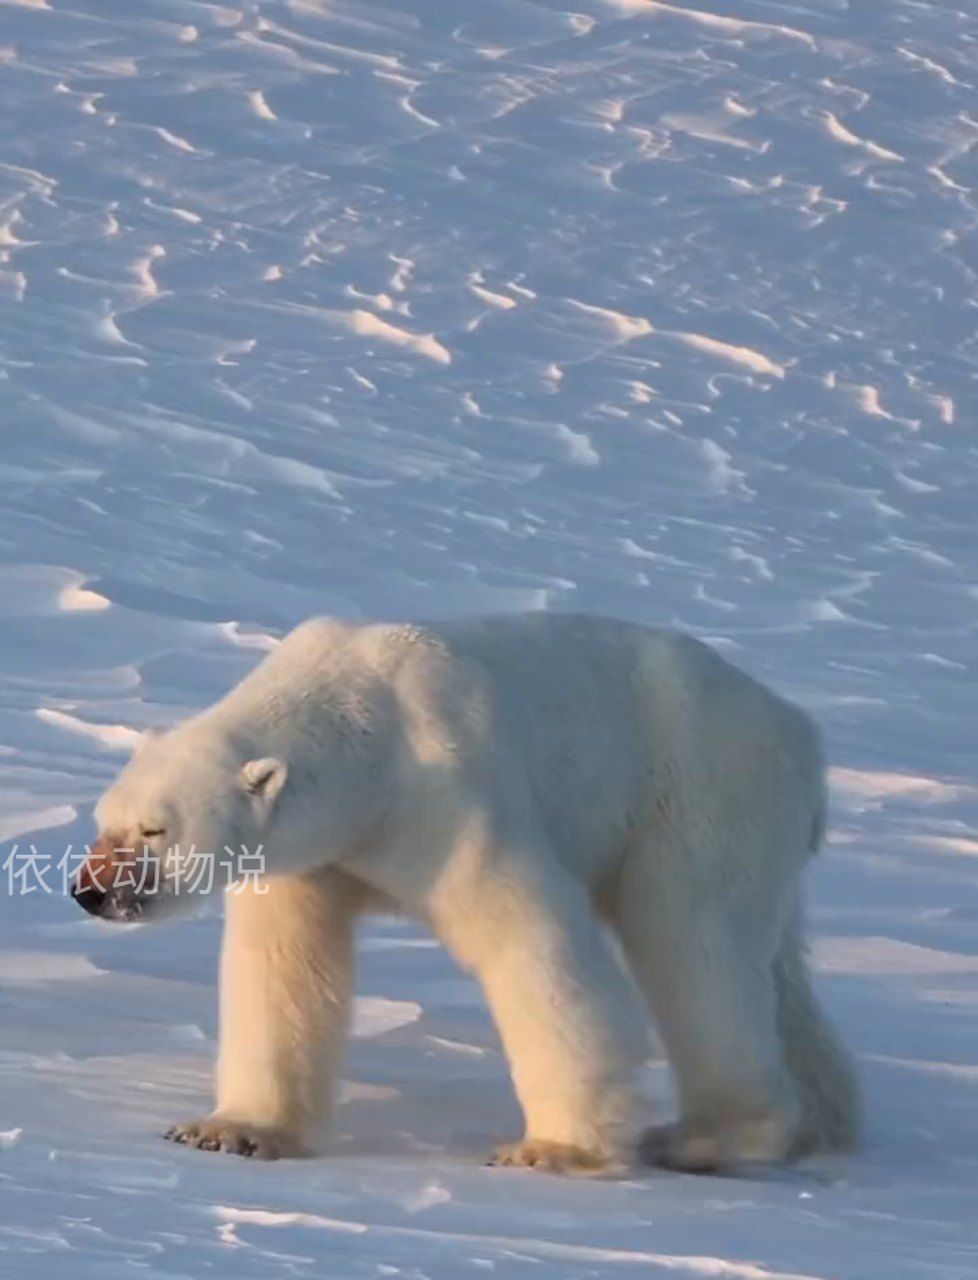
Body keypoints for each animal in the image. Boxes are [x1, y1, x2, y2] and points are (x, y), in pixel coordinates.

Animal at [72, 614, 860, 1172]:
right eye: (104, 822)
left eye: (154, 829)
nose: (89, 891)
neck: (361, 725)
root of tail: (801, 733)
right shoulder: (312, 857)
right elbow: (282, 969)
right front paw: (229, 1130)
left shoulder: (448, 790)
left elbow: (531, 940)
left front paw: (552, 1149)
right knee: (772, 964)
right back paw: (825, 1122)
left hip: (697, 791)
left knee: (693, 945)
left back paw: (709, 1137)